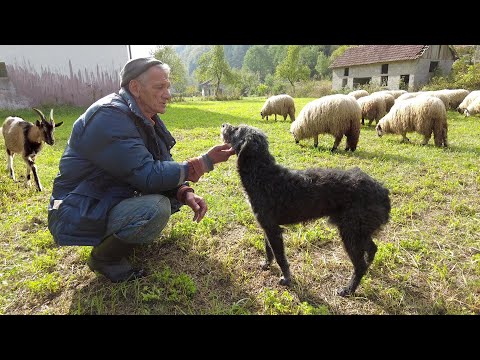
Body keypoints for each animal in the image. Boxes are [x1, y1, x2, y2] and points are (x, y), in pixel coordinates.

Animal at [220, 122, 390, 296]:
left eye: (237, 129)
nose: (224, 125)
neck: (262, 174)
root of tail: (382, 191)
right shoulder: (267, 227)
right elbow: (268, 250)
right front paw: (266, 264)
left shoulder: (273, 230)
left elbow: (280, 257)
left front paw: (286, 278)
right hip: (359, 232)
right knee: (372, 249)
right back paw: (368, 265)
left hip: (351, 234)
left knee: (359, 265)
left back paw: (349, 289)